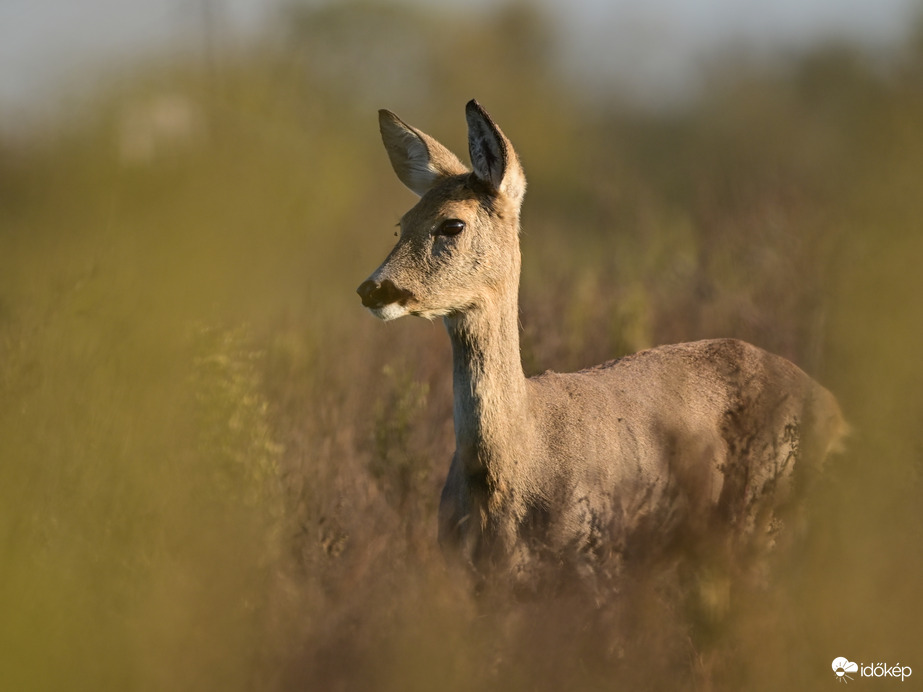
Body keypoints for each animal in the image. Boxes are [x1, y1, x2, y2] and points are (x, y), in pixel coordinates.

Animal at [358, 100, 848, 592]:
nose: (373, 288)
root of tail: (838, 414)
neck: (512, 465)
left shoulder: (595, 565)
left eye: (452, 224)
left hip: (768, 523)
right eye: (402, 224)